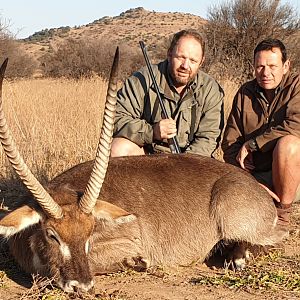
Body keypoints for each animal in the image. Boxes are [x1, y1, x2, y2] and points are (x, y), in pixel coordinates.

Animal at [0, 49, 286, 292]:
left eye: (90, 231)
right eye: (52, 235)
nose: (82, 285)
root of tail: (257, 188)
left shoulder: (128, 241)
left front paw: (136, 262)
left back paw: (238, 256)